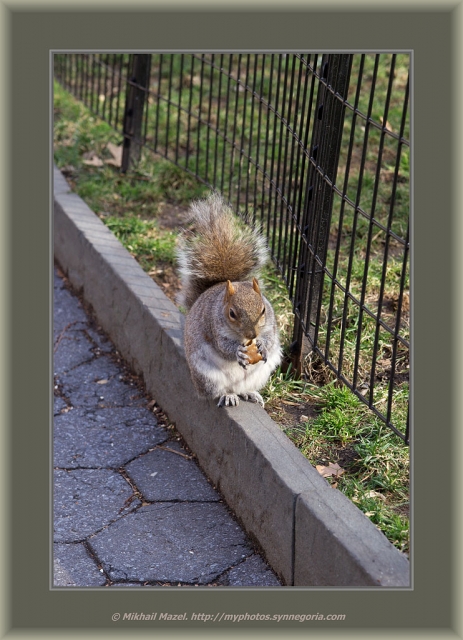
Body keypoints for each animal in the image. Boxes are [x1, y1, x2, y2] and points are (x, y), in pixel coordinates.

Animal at [178, 192, 282, 408]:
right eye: (232, 314)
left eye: (263, 310)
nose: (252, 334)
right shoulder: (213, 326)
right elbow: (223, 347)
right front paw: (237, 352)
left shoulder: (270, 325)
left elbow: (271, 338)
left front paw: (262, 345)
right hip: (208, 376)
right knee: (221, 391)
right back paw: (228, 396)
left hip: (261, 374)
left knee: (244, 388)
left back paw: (250, 393)